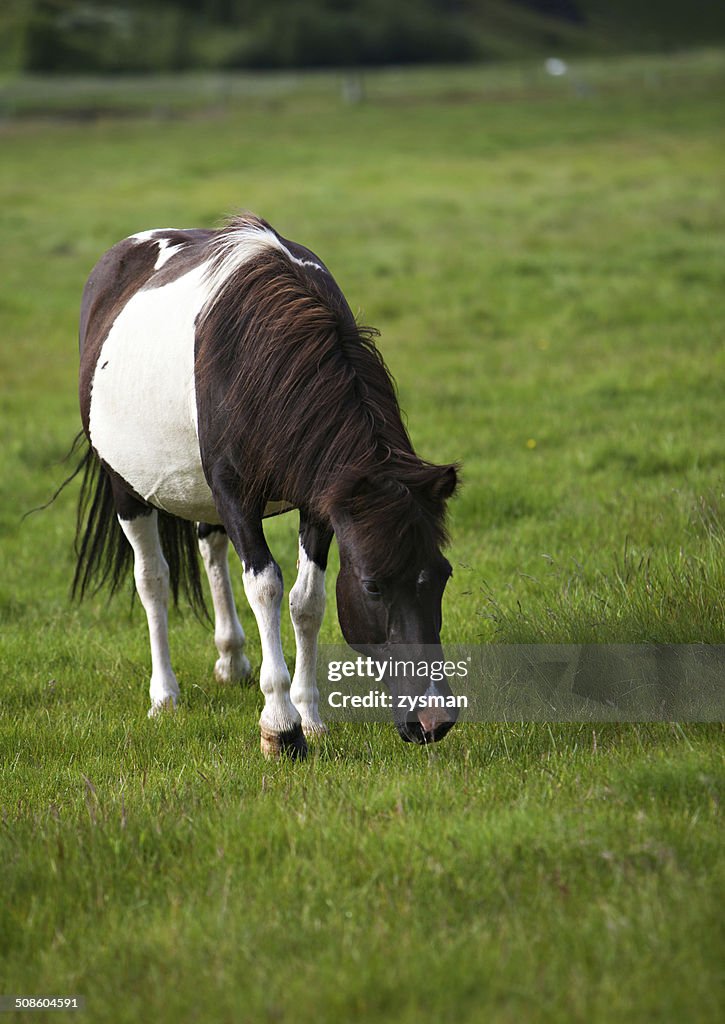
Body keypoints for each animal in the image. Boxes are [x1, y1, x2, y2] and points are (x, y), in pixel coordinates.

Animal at [72, 214, 458, 761]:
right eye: (373, 586)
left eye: (442, 576)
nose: (434, 720)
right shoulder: (236, 496)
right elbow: (266, 587)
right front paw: (281, 726)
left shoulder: (323, 502)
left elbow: (307, 600)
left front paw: (310, 716)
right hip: (125, 486)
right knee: (152, 580)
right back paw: (164, 694)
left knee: (209, 549)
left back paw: (231, 659)